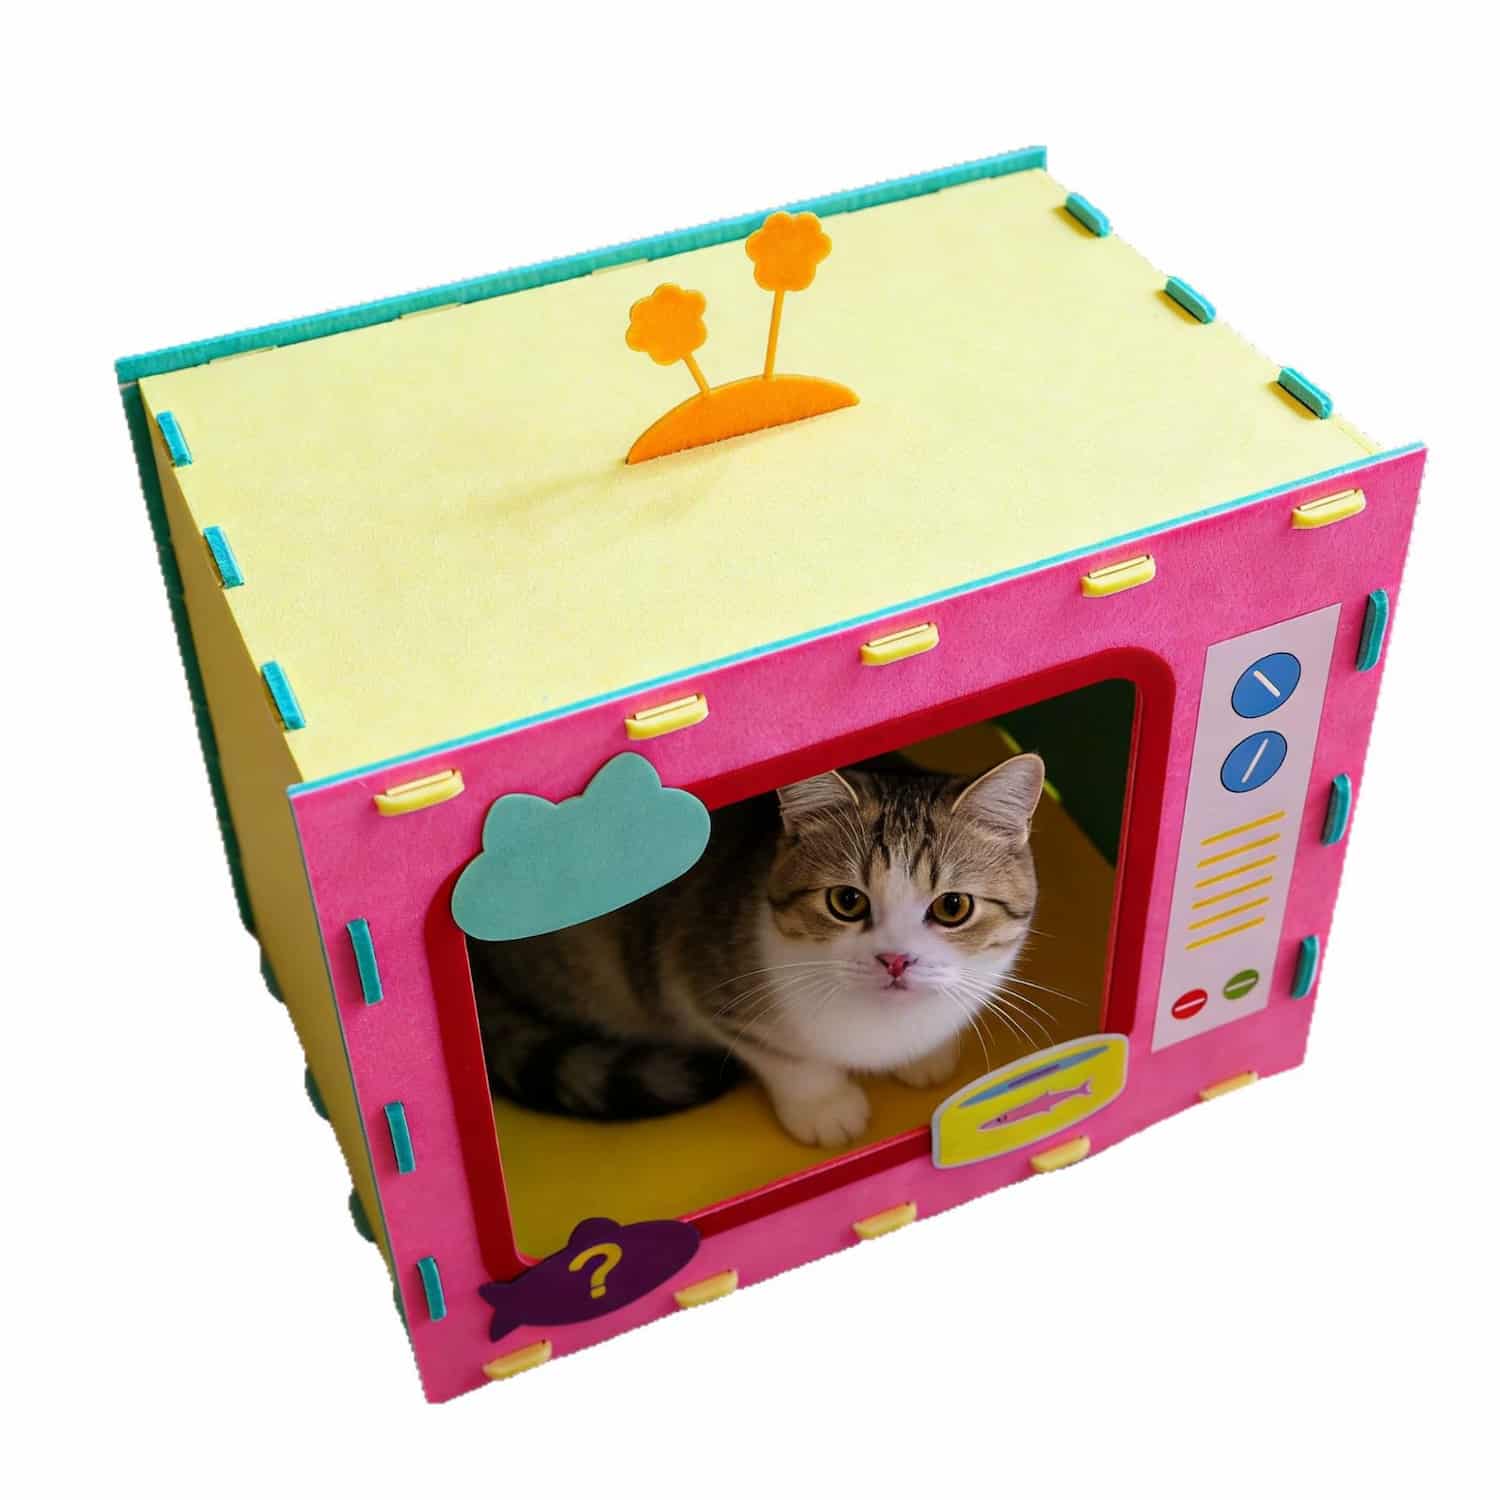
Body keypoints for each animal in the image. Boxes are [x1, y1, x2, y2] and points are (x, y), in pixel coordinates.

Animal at [469, 753, 1045, 1148]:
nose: (896, 959)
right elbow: (780, 1055)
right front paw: (824, 1106)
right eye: (846, 901)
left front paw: (925, 1057)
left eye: (952, 906)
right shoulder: (699, 979)